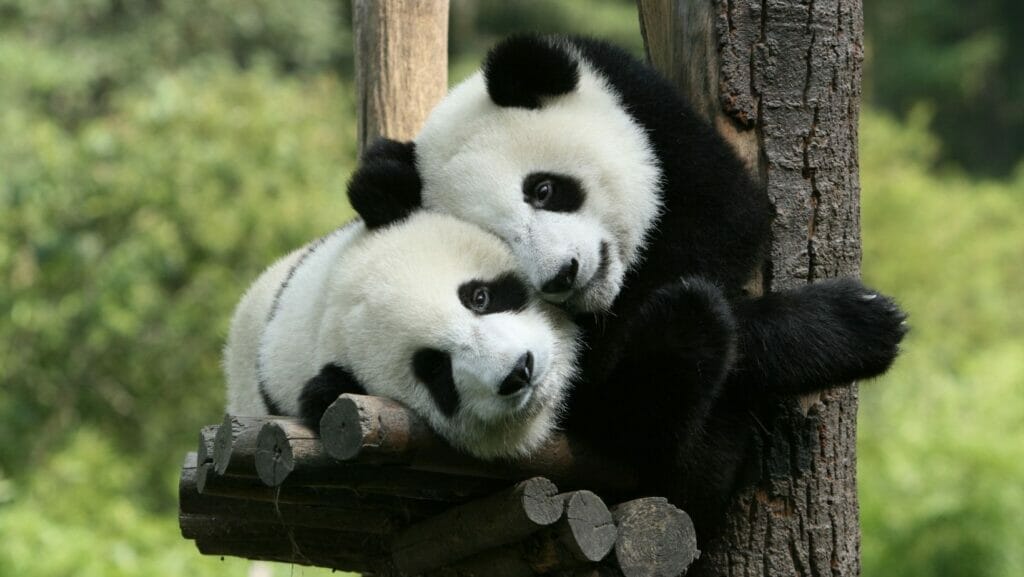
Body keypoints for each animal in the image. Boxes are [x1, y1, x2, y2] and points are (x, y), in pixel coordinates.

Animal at [346, 34, 907, 539]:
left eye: (543, 189)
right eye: (500, 241)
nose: (562, 275)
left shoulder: (652, 116)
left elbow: (728, 218)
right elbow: (605, 385)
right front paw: (855, 324)